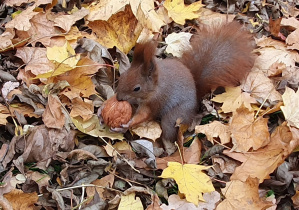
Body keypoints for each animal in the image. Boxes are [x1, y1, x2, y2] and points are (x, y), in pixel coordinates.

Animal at [116, 21, 254, 154]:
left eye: (137, 88)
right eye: (123, 76)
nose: (118, 98)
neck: (156, 86)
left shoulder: (156, 101)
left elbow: (144, 115)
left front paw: (126, 124)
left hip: (176, 115)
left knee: (169, 130)